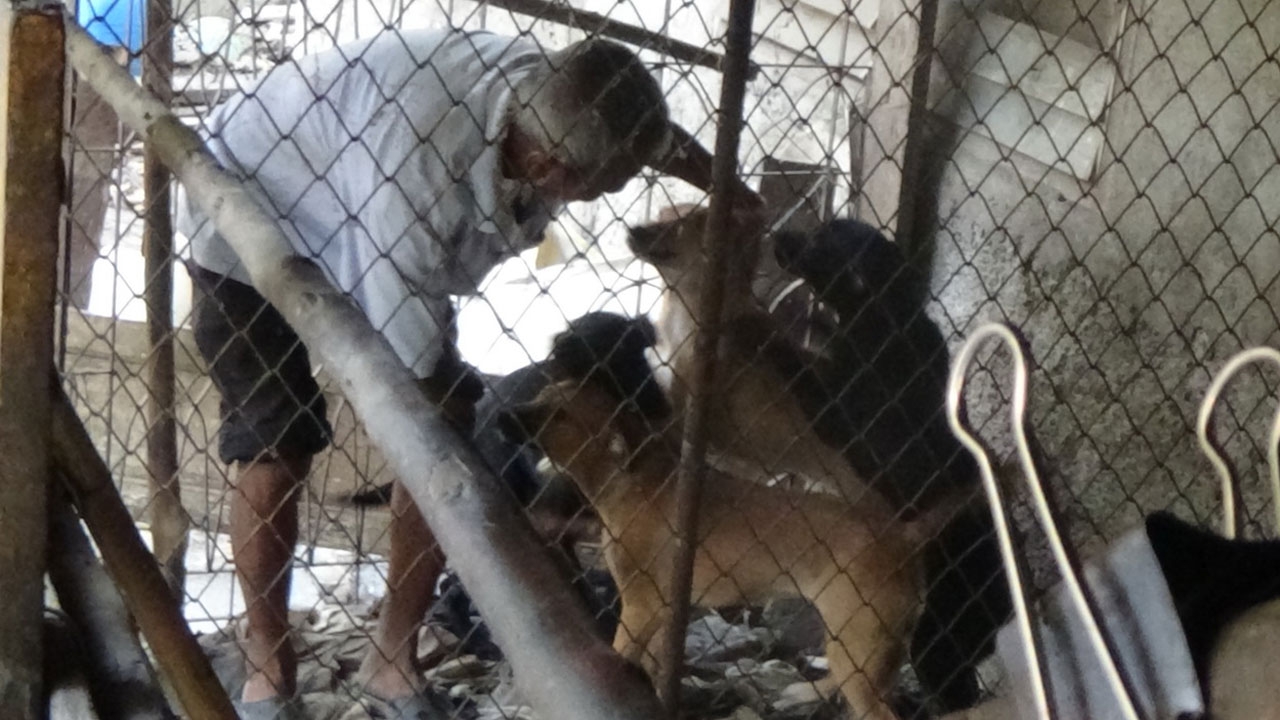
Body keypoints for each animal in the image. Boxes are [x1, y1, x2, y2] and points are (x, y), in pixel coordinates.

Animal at [499, 375, 964, 720]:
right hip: (860, 639)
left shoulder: (640, 606)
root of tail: (902, 533)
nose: (502, 414)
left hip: (859, 640)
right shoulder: (661, 612)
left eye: (559, 415)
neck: (630, 478)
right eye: (541, 394)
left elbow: (621, 655)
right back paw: (803, 692)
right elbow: (651, 664)